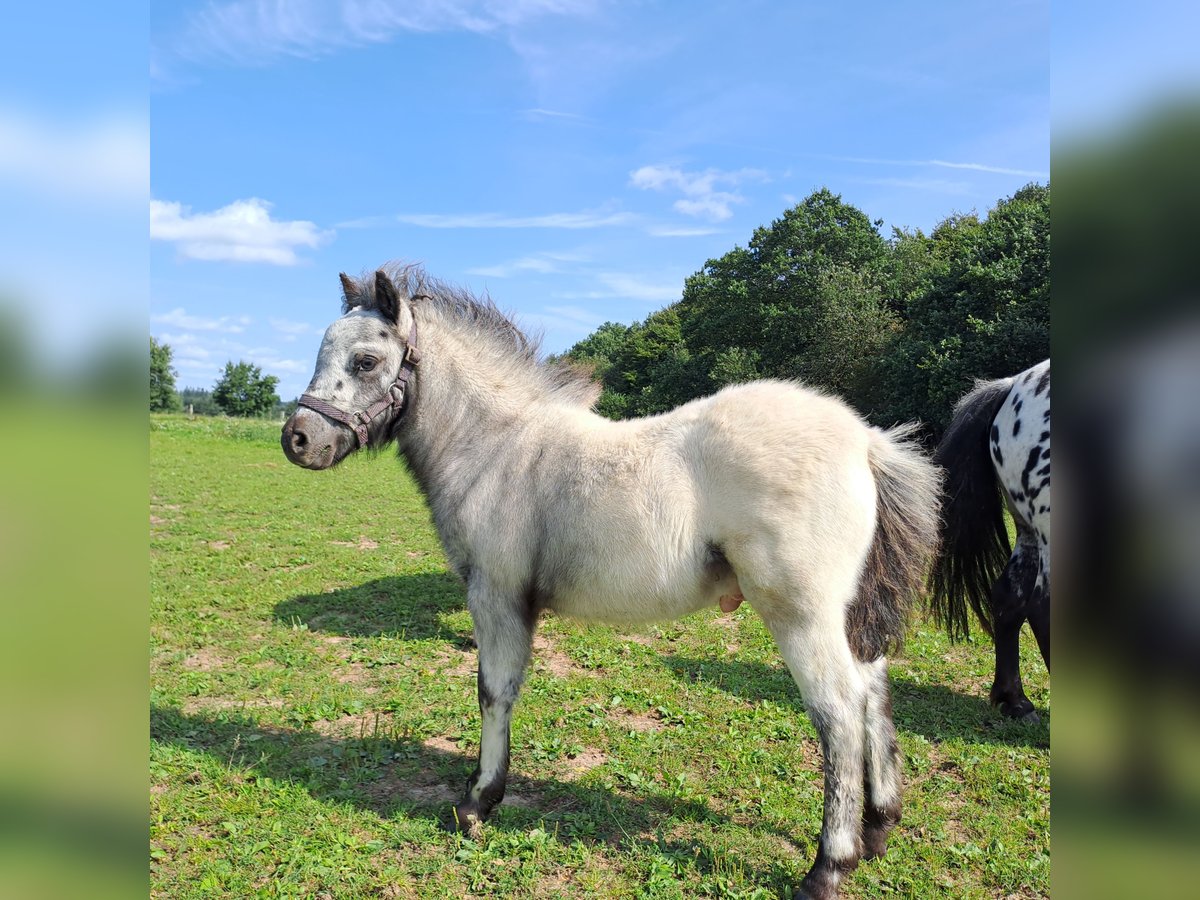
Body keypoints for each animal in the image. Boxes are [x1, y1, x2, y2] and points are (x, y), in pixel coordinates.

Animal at [283, 264, 945, 897]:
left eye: (366, 360)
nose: (298, 439)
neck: (495, 449)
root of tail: (865, 441)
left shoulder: (495, 597)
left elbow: (494, 692)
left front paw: (478, 802)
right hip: (845, 614)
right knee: (874, 691)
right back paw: (879, 827)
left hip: (800, 613)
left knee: (838, 712)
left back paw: (828, 867)